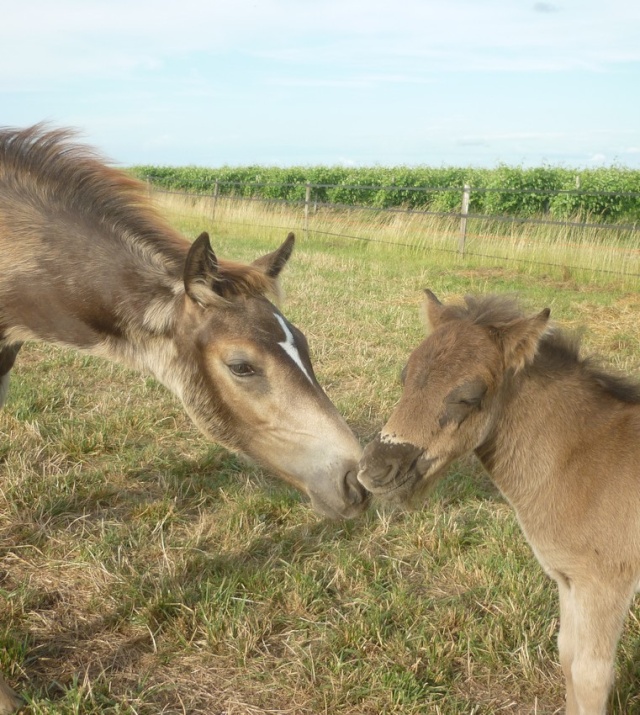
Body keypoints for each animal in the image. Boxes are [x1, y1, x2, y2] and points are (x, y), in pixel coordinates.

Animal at [360, 290, 640, 715]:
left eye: (468, 397)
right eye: (405, 377)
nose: (376, 468)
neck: (584, 459)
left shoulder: (606, 583)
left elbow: (592, 677)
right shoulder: (568, 578)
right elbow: (567, 656)